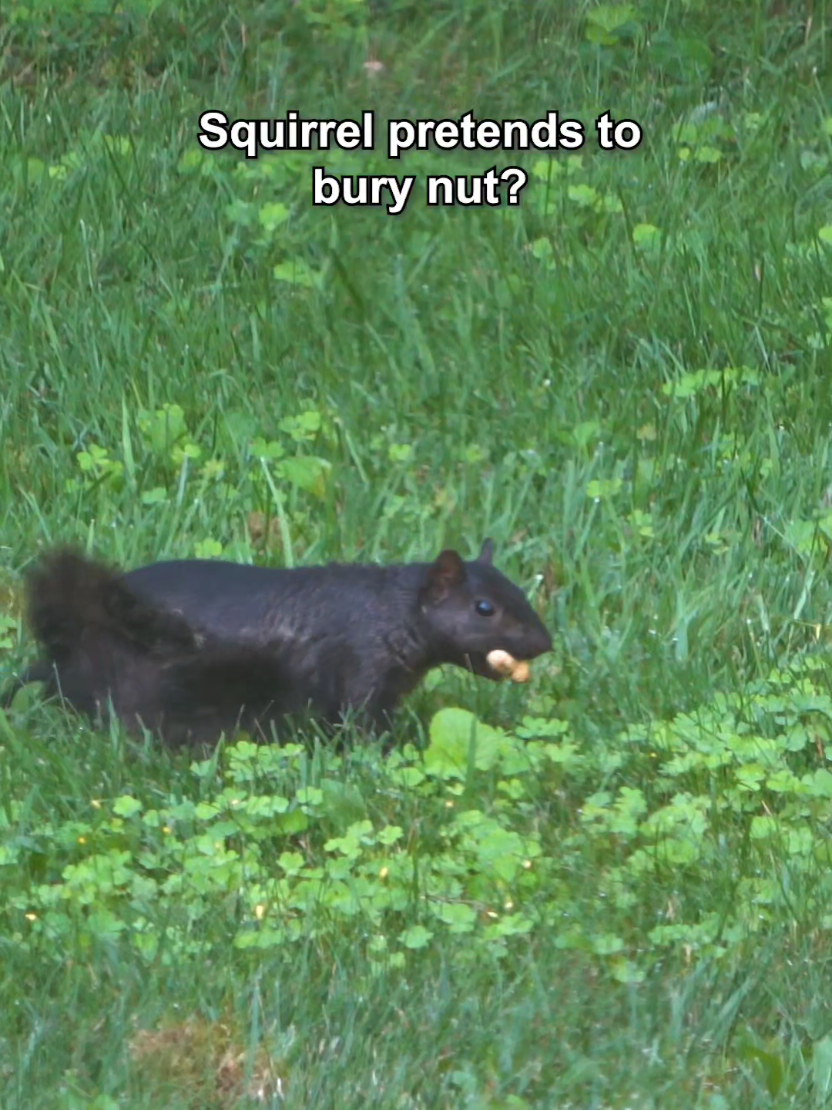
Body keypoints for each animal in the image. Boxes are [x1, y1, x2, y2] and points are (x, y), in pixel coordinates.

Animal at [2, 541, 552, 746]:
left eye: (519, 592)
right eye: (484, 608)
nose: (544, 642)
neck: (391, 611)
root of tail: (61, 658)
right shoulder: (362, 667)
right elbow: (362, 723)